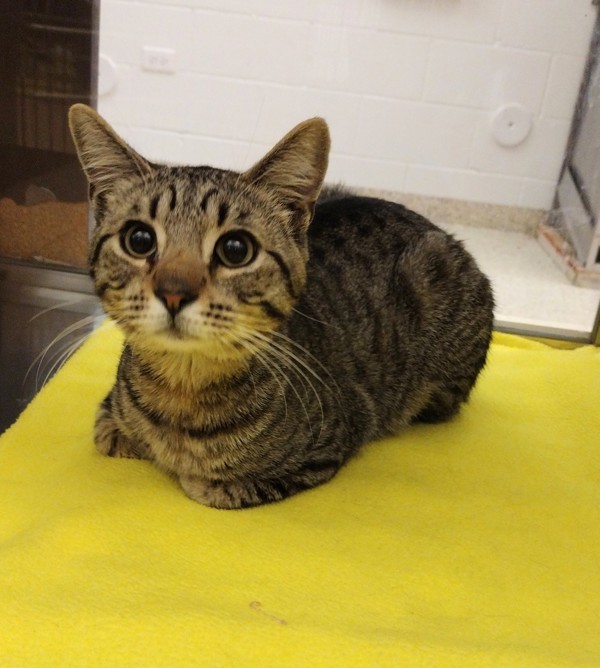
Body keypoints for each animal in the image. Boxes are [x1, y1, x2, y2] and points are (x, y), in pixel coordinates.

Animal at [68, 104, 494, 508]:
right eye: (138, 240)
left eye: (236, 249)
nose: (174, 292)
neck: (181, 389)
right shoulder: (109, 410)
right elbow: (108, 429)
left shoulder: (330, 443)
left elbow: (208, 485)